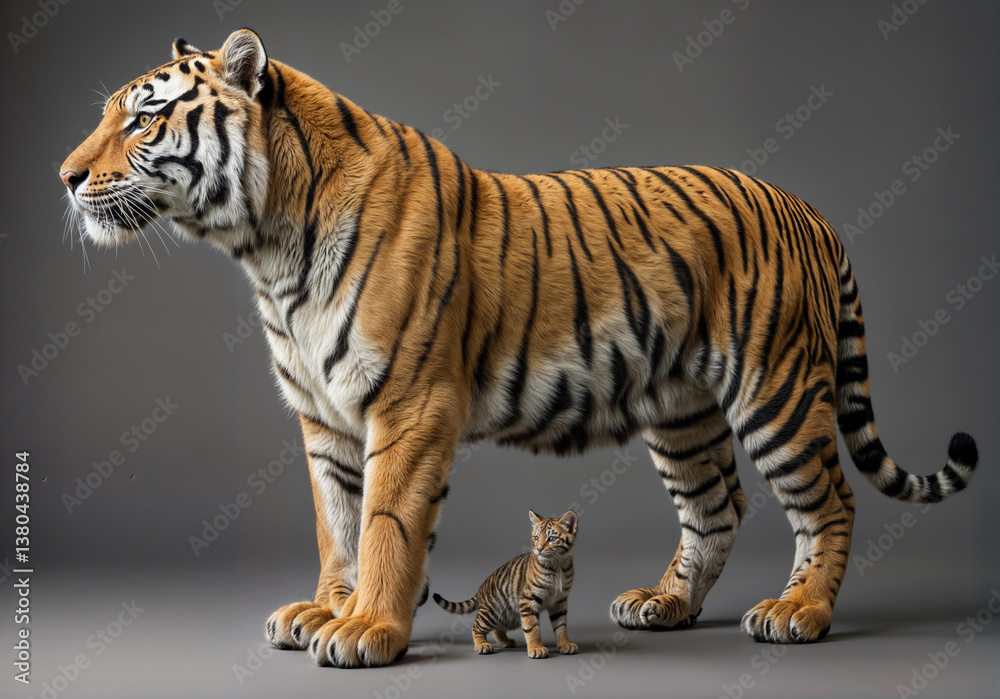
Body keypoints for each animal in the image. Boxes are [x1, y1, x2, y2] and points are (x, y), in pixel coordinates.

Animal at [433, 510, 578, 658]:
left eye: (551, 539)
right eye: (536, 537)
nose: (538, 549)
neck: (557, 564)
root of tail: (480, 589)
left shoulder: (560, 601)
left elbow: (561, 626)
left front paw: (565, 644)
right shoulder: (528, 601)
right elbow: (532, 629)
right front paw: (537, 648)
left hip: (510, 617)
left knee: (496, 628)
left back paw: (505, 641)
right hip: (492, 611)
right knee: (476, 627)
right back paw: (482, 645)